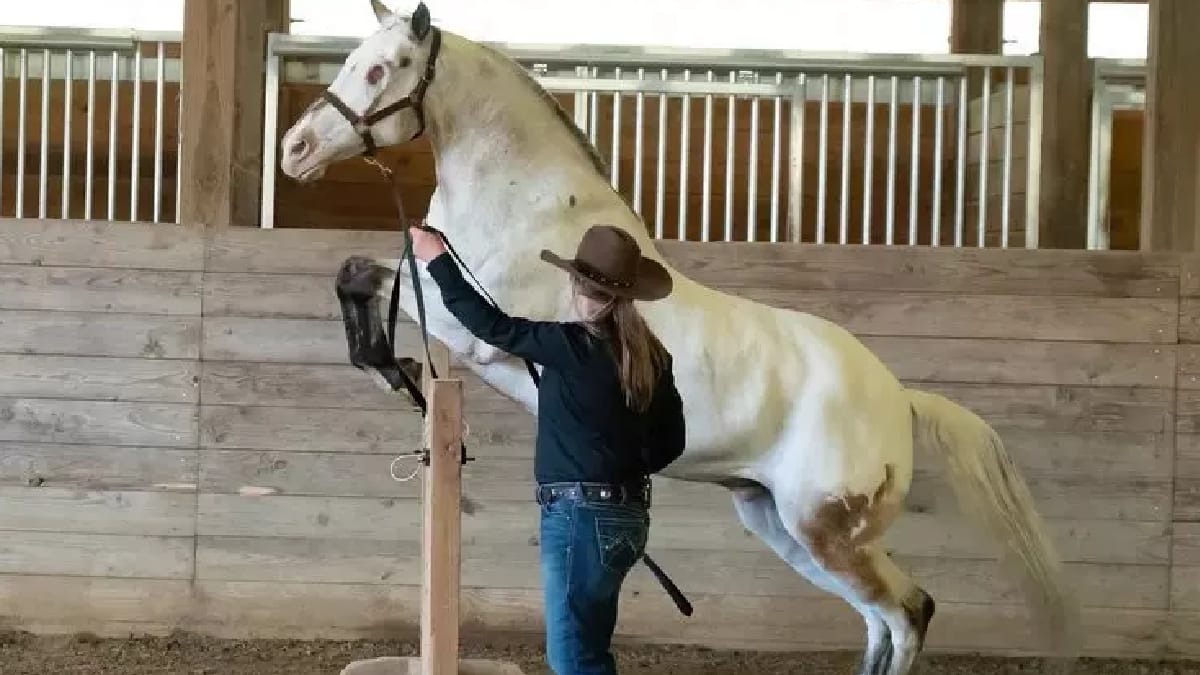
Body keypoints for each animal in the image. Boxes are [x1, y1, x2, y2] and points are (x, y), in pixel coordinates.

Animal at [277, 3, 1078, 673]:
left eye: (381, 68)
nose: (295, 148)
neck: (528, 207)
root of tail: (900, 399)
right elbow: (356, 273)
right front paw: (391, 369)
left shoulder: (473, 326)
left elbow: (368, 276)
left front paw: (390, 366)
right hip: (785, 527)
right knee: (882, 620)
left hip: (823, 532)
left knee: (909, 613)